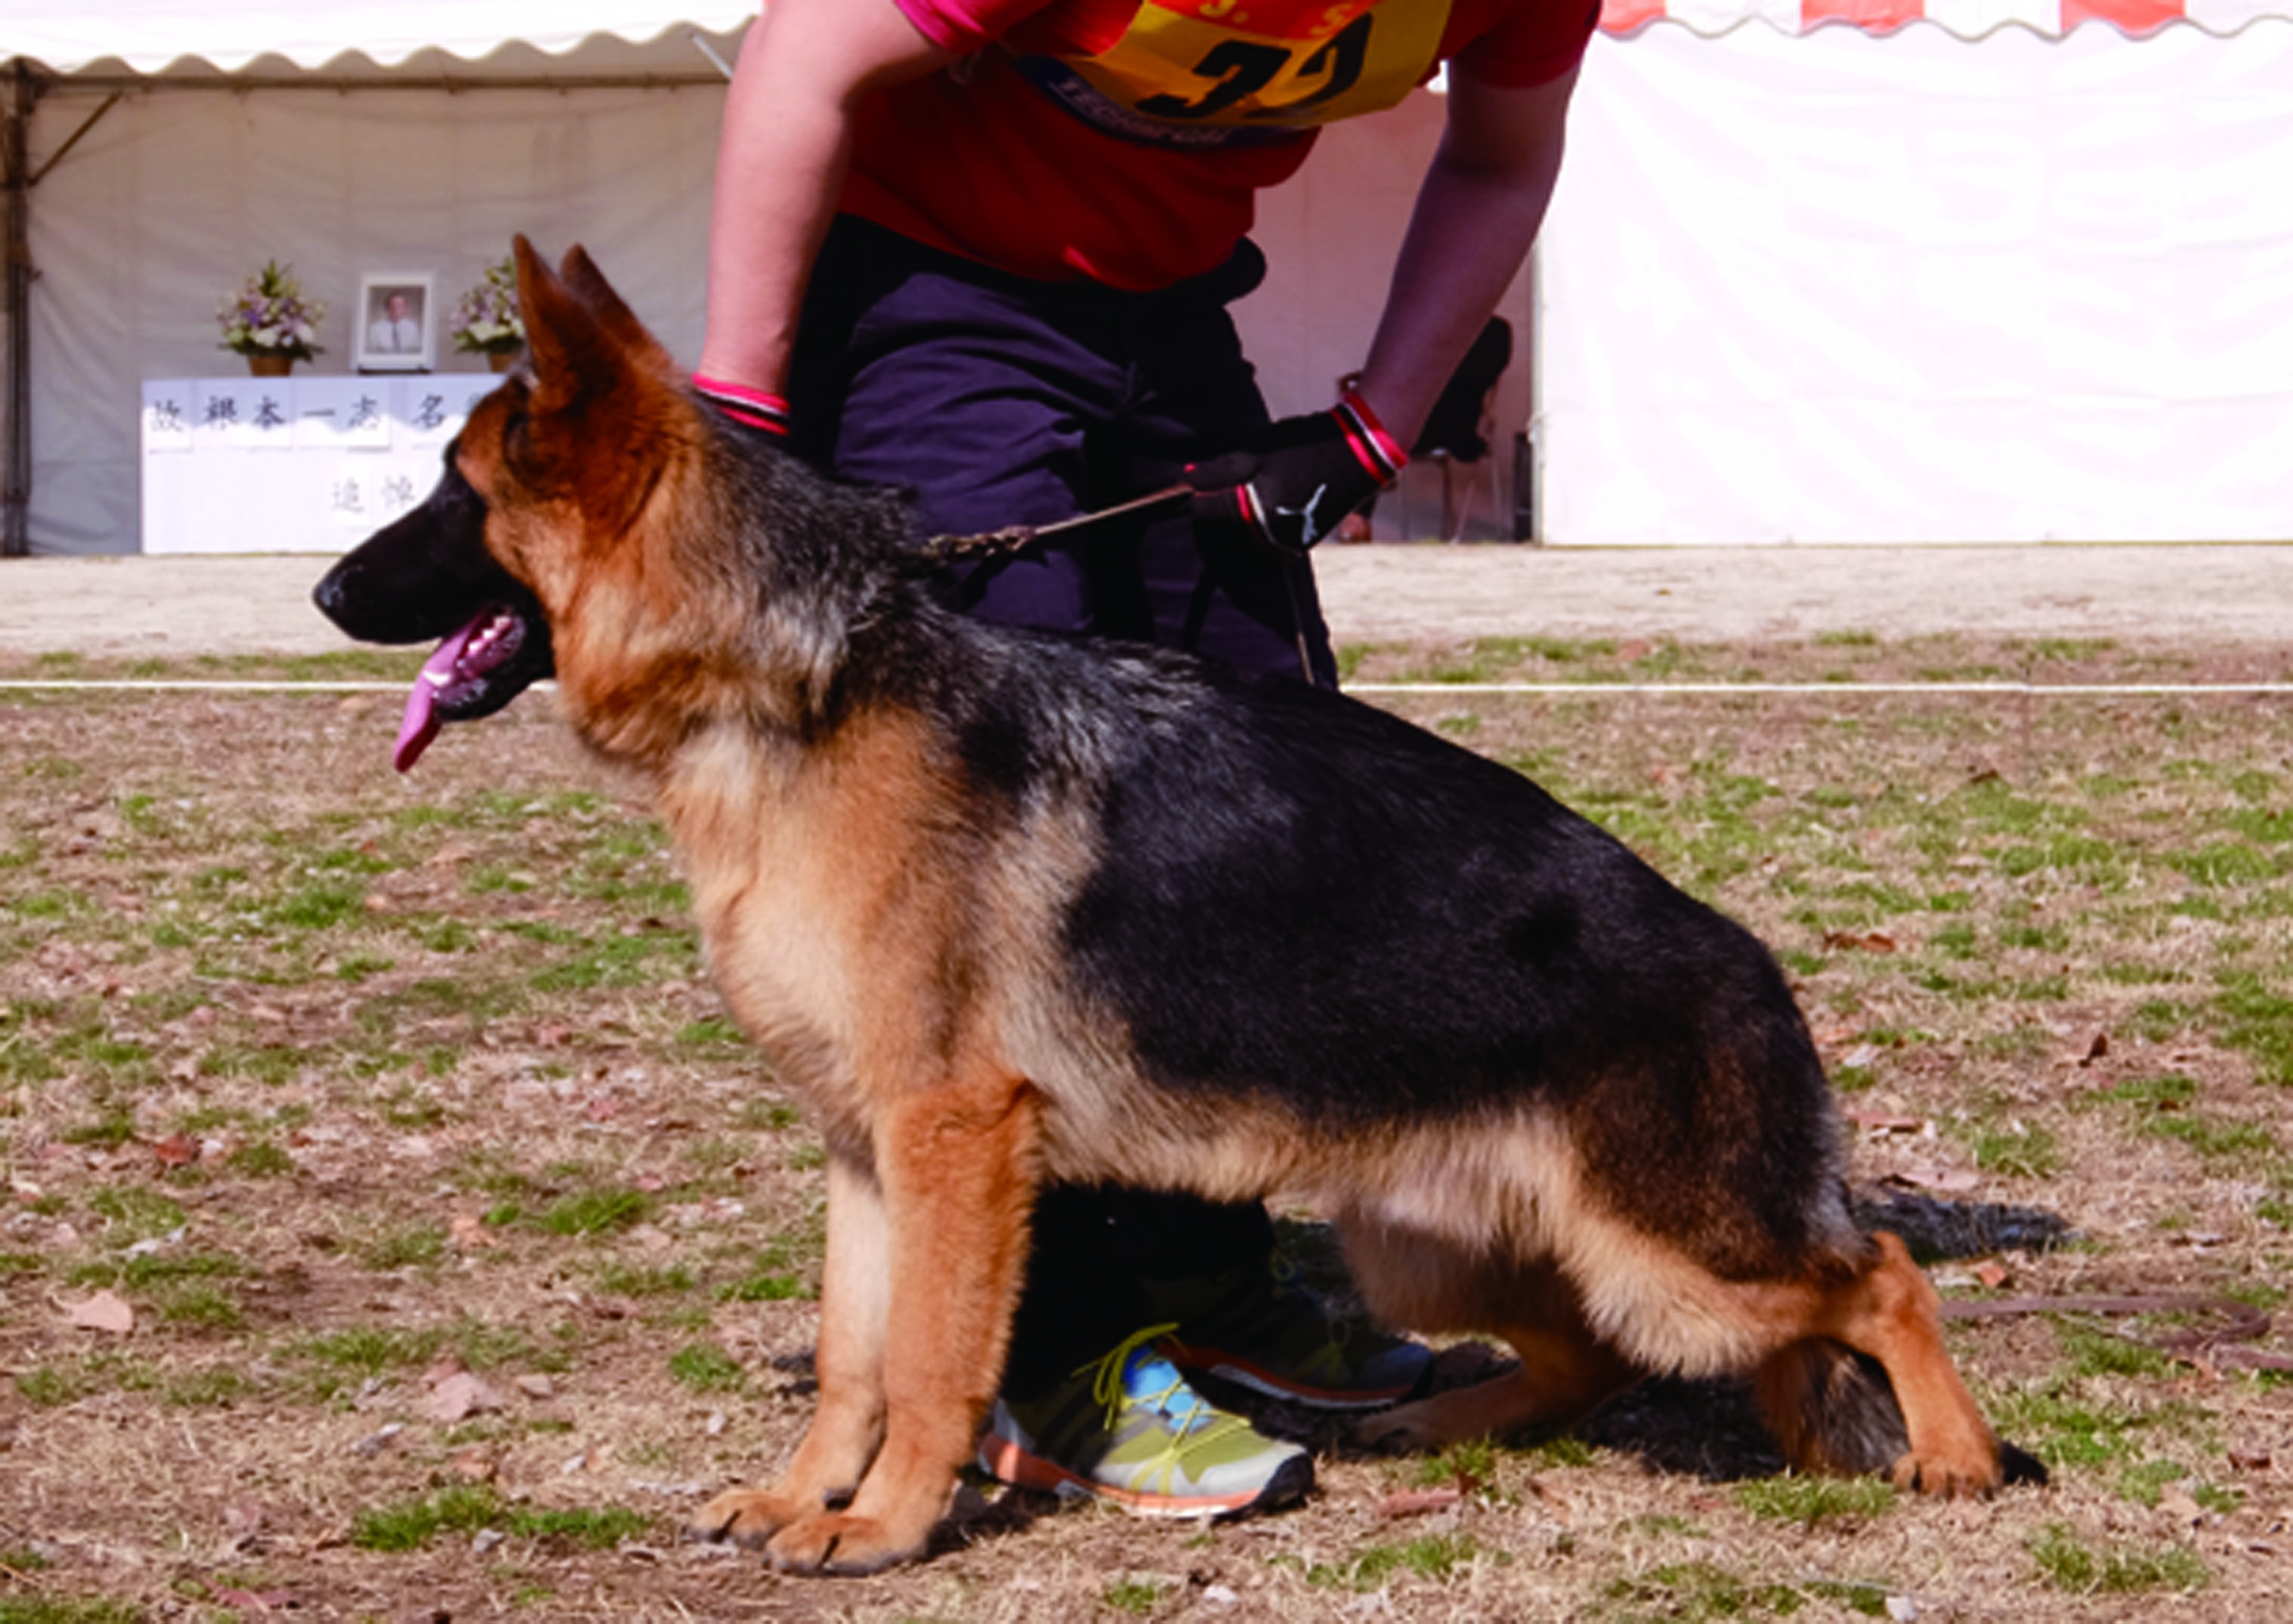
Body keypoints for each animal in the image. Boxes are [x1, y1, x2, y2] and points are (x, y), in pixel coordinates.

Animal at [314, 240, 2036, 1569]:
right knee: (1587, 1355)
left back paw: (1954, 1455)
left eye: (451, 493)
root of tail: (1746, 968)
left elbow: (930, 1362)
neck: (800, 692)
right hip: (1437, 1244)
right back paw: (1443, 1413)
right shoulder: (865, 1148)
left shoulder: (953, 1139)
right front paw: (809, 1495)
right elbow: (853, 1355)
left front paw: (885, 1527)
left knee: (1875, 1270)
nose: (323, 593)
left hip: (1669, 1251)